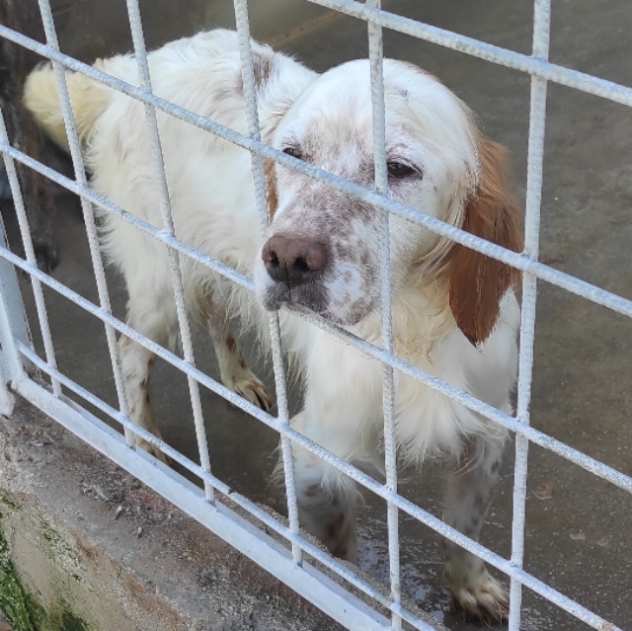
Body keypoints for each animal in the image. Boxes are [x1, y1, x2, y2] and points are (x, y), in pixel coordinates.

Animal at [25, 29, 520, 624]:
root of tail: (129, 68)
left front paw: (471, 587)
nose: (287, 257)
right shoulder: (314, 447)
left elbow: (465, 530)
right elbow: (335, 542)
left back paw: (238, 378)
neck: (409, 328)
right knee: (130, 352)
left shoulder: (487, 428)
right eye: (293, 154)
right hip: (161, 282)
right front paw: (349, 589)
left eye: (398, 169)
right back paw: (143, 442)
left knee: (218, 314)